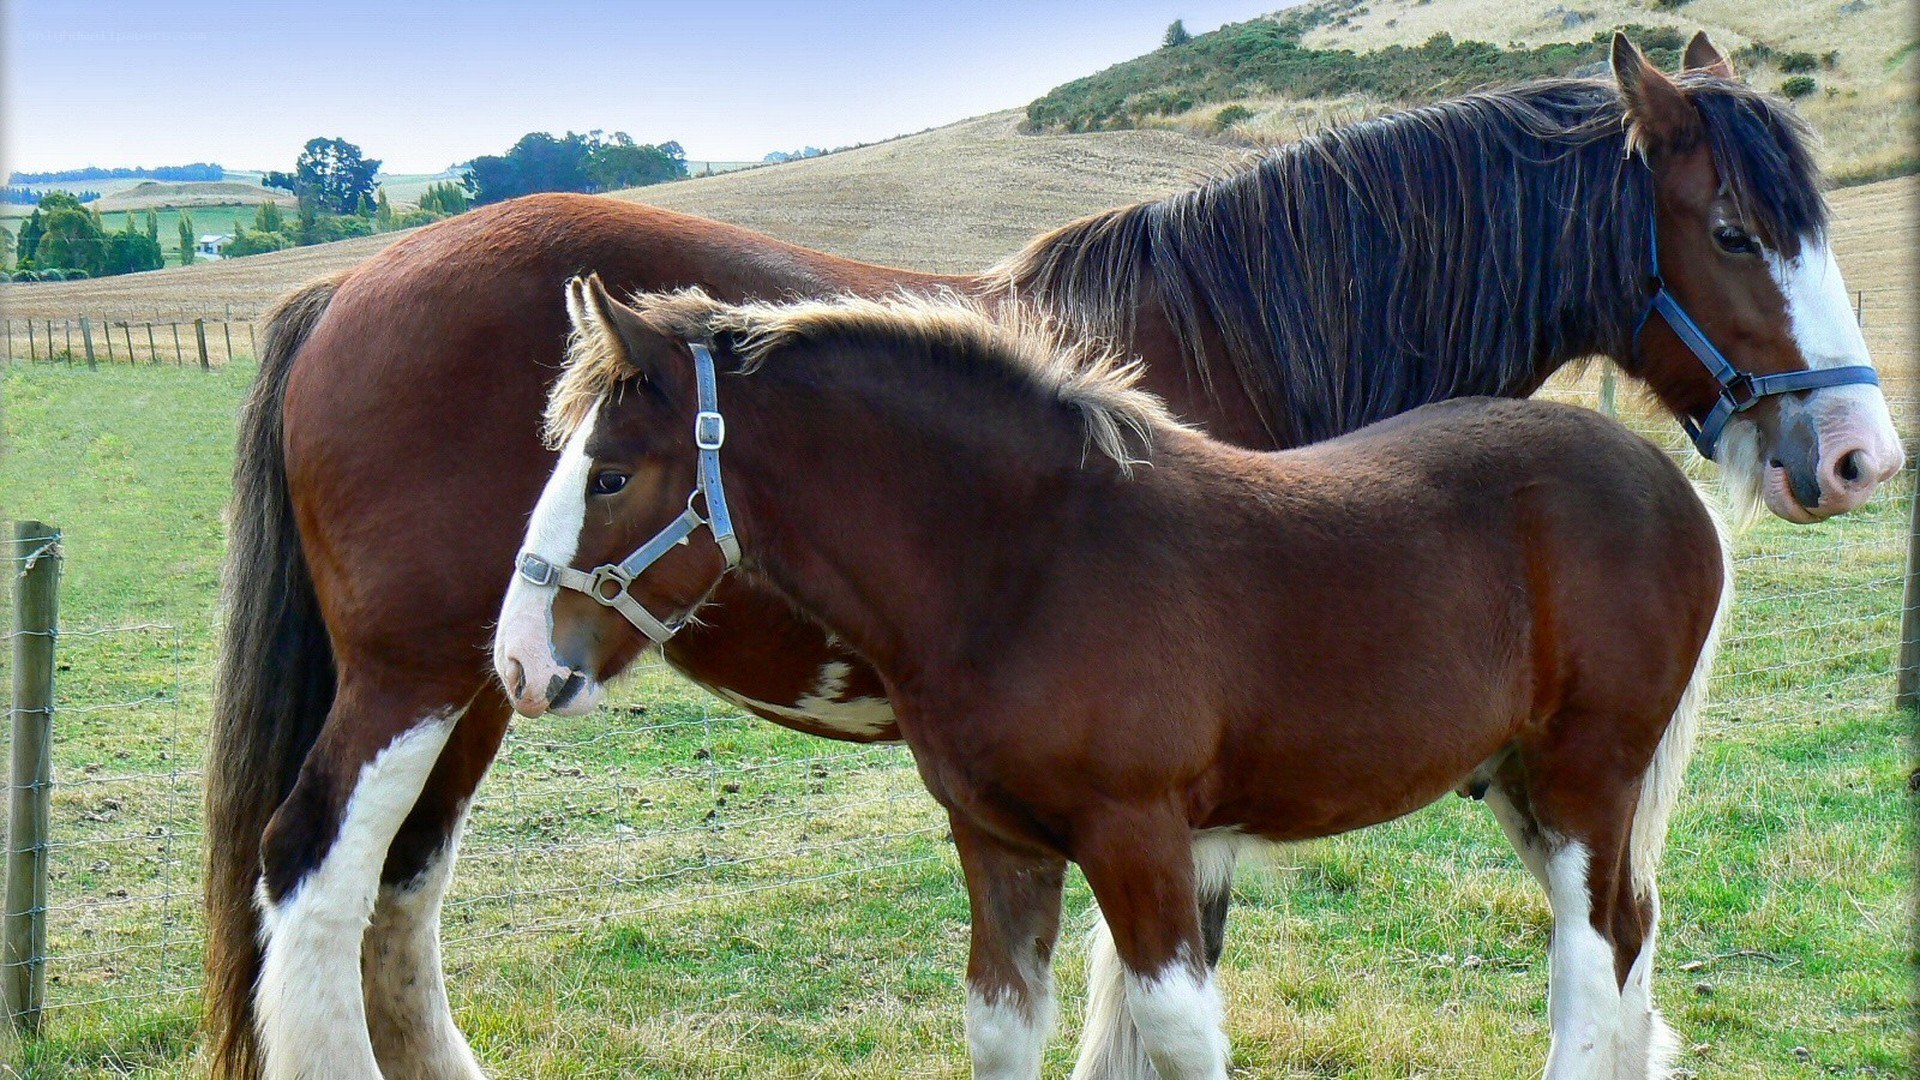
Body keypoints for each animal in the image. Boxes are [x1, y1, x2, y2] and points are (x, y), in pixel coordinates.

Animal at [494, 277, 1733, 1079]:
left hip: (1587, 777)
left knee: (1591, 961)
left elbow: (1177, 1034)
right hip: (1528, 784)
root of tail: (1668, 484)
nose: (518, 663)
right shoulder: (999, 840)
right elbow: (1001, 1028)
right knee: (1627, 935)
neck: (1026, 562)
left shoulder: (1139, 837)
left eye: (610, 474)